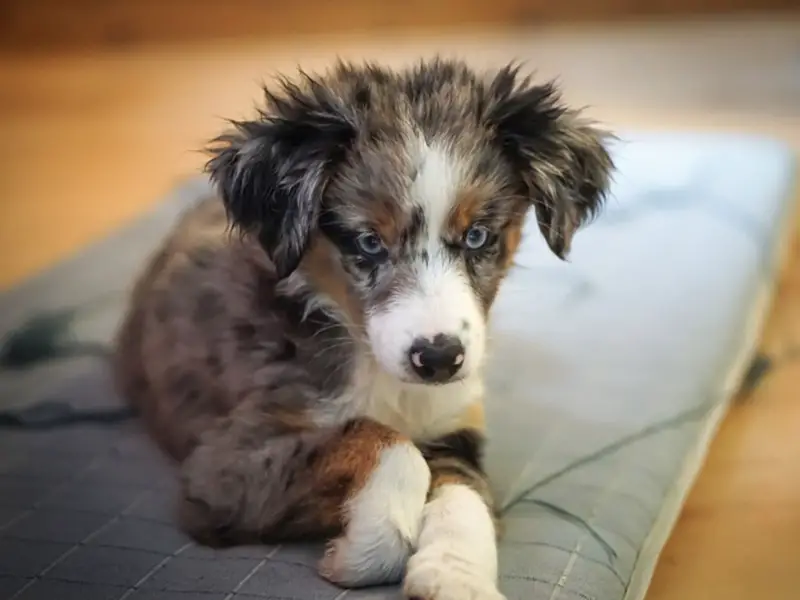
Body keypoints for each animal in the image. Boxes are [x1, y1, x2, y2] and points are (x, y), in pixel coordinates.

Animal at [112, 57, 612, 600]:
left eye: (478, 236)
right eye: (369, 242)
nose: (439, 359)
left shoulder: (455, 425)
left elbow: (466, 494)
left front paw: (456, 575)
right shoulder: (223, 466)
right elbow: (387, 444)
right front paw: (366, 551)